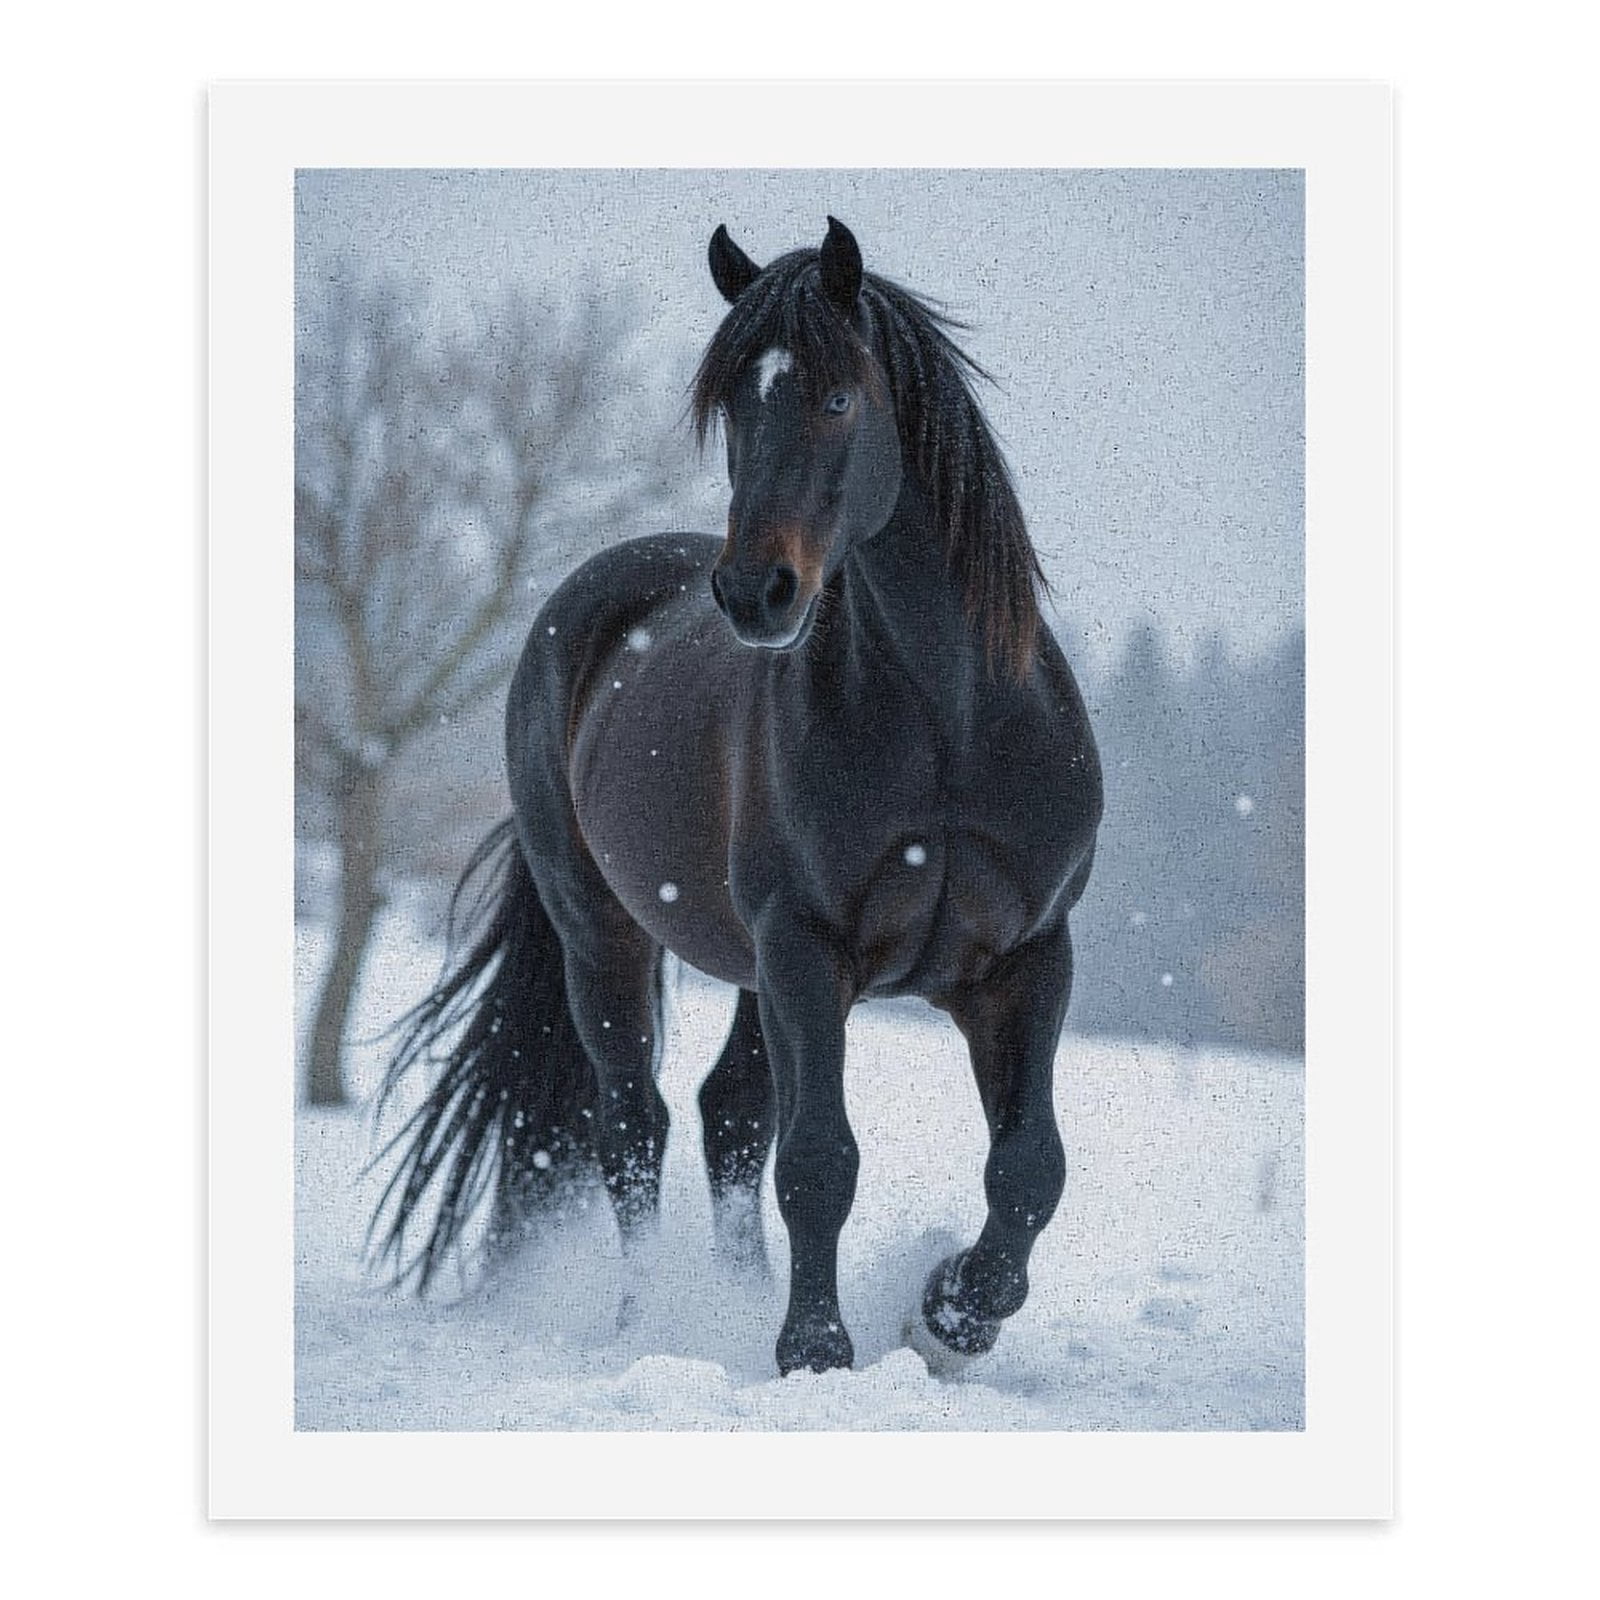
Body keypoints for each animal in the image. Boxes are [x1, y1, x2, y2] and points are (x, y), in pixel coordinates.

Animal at [371, 216, 1103, 1377]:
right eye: (732, 409)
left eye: (839, 397)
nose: (755, 593)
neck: (950, 723)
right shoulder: (806, 947)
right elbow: (819, 1159)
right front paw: (816, 1349)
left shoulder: (1026, 959)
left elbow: (1029, 1169)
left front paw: (949, 1313)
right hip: (608, 939)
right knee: (637, 1125)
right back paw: (647, 1321)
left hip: (759, 972)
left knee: (727, 1119)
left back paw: (736, 1296)